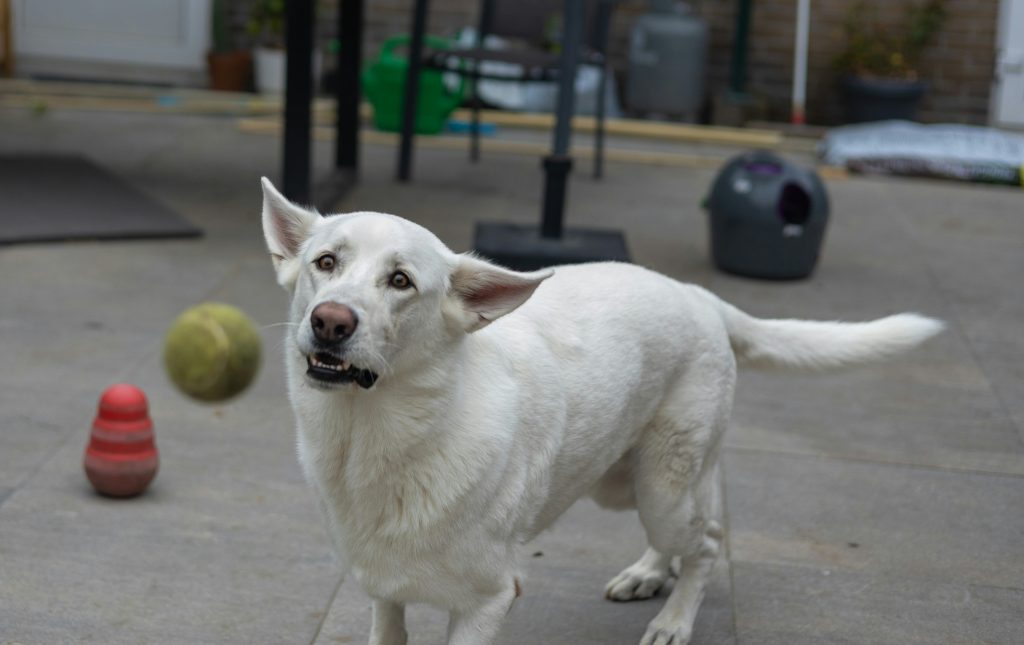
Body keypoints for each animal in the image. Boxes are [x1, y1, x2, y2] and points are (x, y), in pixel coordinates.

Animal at [260, 178, 937, 645]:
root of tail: (696, 295)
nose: (330, 322)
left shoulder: (488, 601)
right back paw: (649, 575)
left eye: (400, 281)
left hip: (661, 488)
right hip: (628, 480)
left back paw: (673, 621)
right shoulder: (385, 591)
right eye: (325, 263)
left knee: (708, 541)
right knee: (696, 520)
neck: (373, 436)